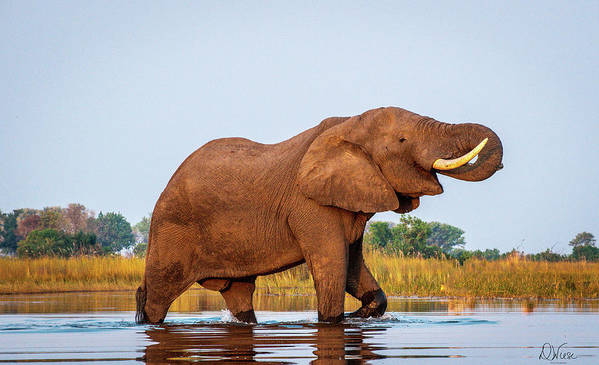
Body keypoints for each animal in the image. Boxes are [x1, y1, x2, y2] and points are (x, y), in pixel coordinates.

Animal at [136, 106, 502, 322]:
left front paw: (364, 312)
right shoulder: (310, 205)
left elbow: (352, 265)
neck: (350, 124)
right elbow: (332, 264)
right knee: (158, 293)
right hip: (172, 228)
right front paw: (336, 319)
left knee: (239, 294)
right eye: (402, 139)